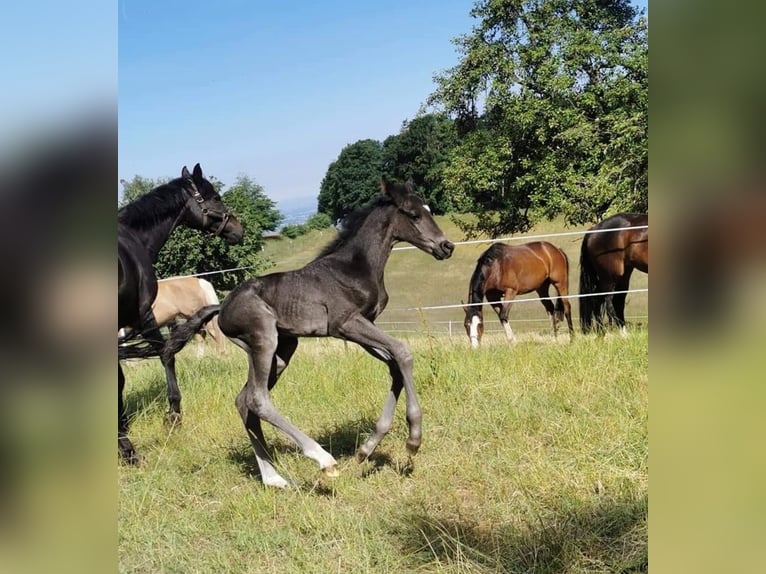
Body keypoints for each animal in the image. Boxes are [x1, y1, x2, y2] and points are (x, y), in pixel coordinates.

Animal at [214, 182, 456, 488]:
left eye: (428, 209)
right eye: (413, 215)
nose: (446, 246)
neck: (355, 267)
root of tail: (222, 310)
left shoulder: (363, 326)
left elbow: (395, 366)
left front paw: (367, 448)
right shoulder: (347, 324)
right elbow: (402, 352)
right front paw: (413, 439)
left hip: (281, 350)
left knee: (244, 401)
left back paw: (274, 479)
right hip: (264, 340)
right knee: (257, 399)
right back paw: (323, 460)